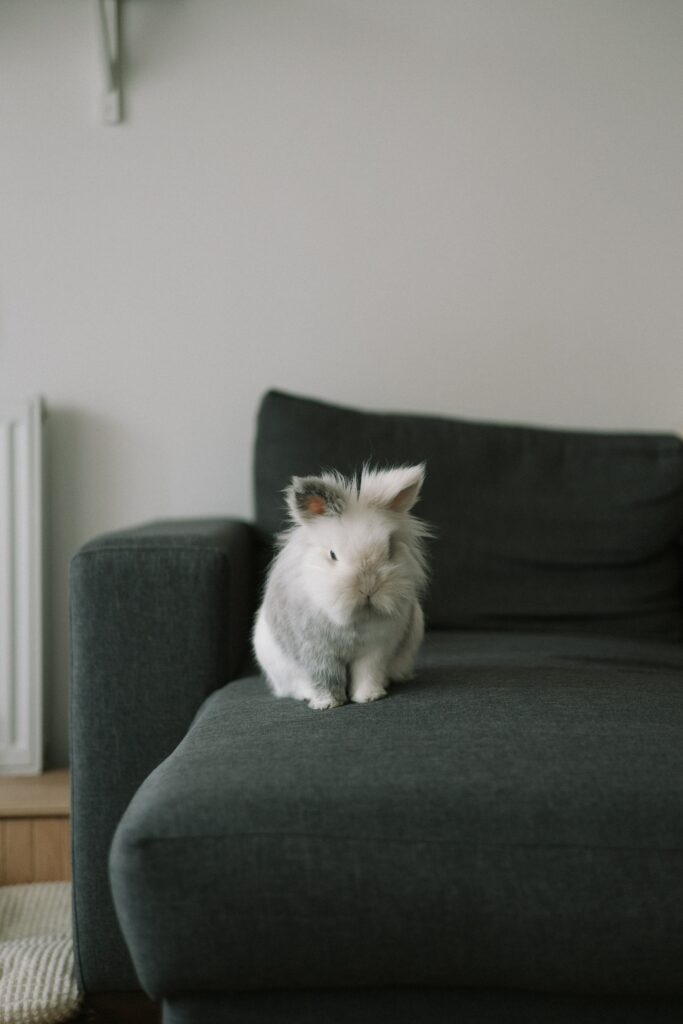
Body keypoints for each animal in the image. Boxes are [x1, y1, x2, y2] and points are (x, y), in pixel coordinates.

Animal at [253, 464, 430, 710]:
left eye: (389, 550)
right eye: (333, 555)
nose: (368, 588)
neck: (355, 620)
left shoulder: (375, 650)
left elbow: (367, 673)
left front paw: (369, 697)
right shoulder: (316, 651)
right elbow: (325, 678)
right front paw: (327, 704)